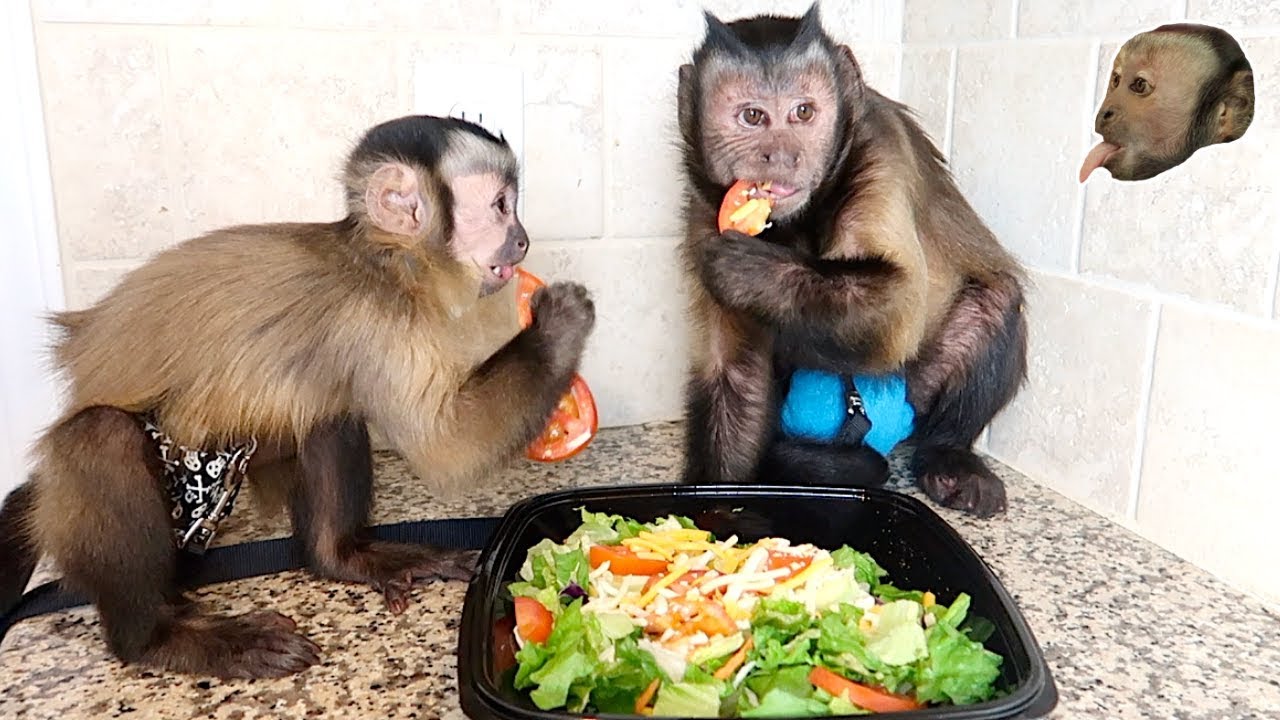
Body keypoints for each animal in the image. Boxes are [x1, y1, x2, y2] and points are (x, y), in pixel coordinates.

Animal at [0, 114, 596, 679]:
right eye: (500, 206)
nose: (522, 239)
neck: (383, 261)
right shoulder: (379, 321)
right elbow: (446, 449)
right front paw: (558, 324)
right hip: (132, 505)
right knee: (100, 437)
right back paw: (159, 639)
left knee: (327, 401)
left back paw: (340, 559)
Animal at [675, 6, 1028, 518]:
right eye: (753, 116)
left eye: (803, 112)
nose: (783, 154)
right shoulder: (706, 206)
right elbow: (734, 372)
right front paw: (715, 508)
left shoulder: (878, 152)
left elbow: (897, 307)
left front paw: (748, 272)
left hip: (913, 394)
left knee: (994, 298)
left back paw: (949, 453)